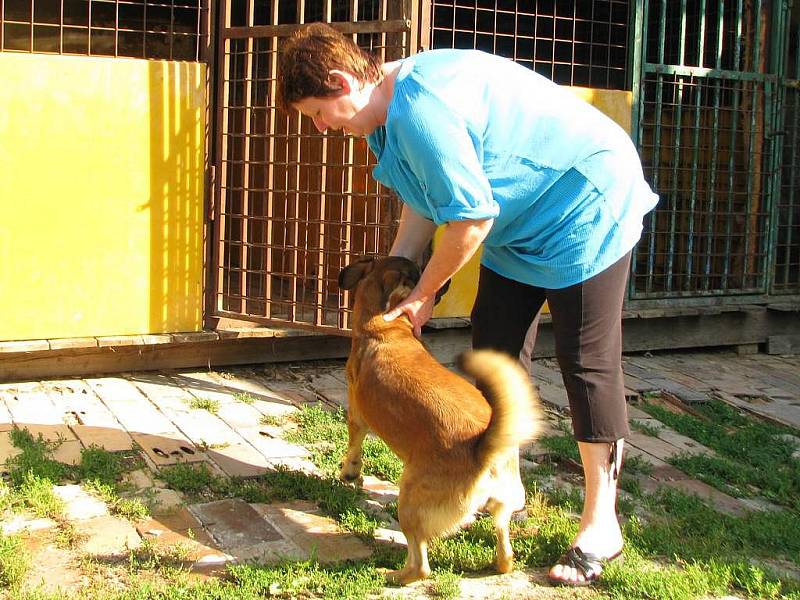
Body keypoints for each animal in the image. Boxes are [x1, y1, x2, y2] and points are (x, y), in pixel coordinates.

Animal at [334, 255, 540, 584]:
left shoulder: (357, 416)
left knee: (421, 566)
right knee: (505, 551)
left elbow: (354, 446)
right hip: (502, 508)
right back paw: (500, 563)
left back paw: (393, 575)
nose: (446, 282)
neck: (386, 327)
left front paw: (349, 473)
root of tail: (483, 448)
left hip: (409, 500)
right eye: (419, 272)